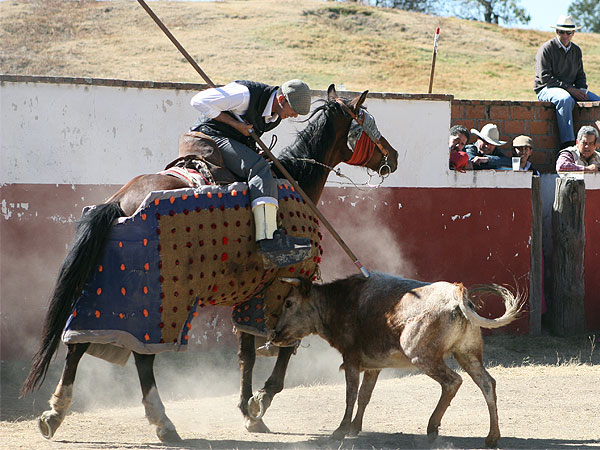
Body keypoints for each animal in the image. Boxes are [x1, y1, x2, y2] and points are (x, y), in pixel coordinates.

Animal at [18, 82, 398, 442]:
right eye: (370, 124)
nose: (393, 157)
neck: (294, 179)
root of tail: (118, 201)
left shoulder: (251, 294)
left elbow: (246, 353)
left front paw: (247, 410)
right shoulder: (285, 286)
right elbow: (283, 350)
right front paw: (259, 403)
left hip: (103, 292)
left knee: (78, 343)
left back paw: (55, 414)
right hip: (159, 304)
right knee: (142, 357)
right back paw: (163, 422)